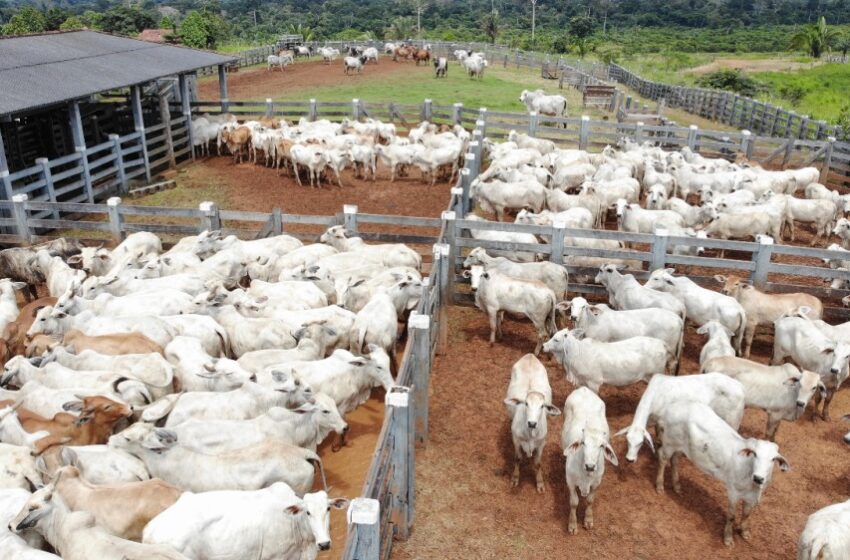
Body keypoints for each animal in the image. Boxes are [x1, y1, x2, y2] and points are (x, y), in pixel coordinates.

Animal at [504, 356, 556, 492]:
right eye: (526, 403)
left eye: (542, 406)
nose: (532, 423)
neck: (530, 434)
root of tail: (530, 356)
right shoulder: (516, 440)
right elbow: (517, 459)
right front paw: (515, 478)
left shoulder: (542, 442)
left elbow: (538, 463)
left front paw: (540, 483)